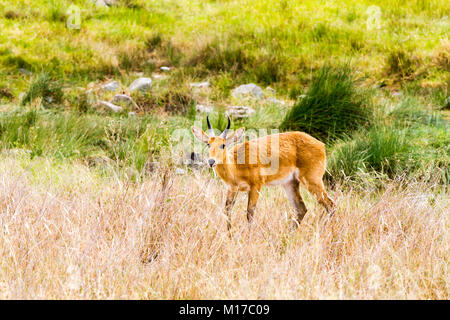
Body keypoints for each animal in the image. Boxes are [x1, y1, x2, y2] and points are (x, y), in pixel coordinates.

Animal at [190, 115, 334, 230]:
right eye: (208, 144)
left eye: (223, 145)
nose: (211, 161)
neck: (236, 165)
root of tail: (321, 145)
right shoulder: (232, 189)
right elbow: (227, 212)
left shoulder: (256, 186)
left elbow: (250, 212)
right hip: (290, 183)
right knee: (302, 209)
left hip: (312, 180)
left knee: (330, 205)